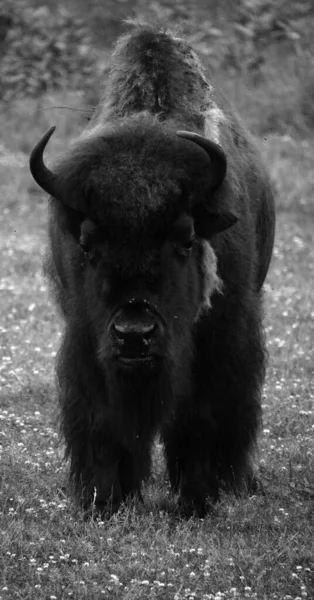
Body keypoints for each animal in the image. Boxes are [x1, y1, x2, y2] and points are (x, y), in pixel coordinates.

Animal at [28, 23, 274, 516]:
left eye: (185, 240)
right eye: (88, 244)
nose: (134, 334)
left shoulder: (220, 338)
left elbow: (202, 416)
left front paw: (196, 501)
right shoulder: (86, 338)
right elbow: (102, 420)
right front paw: (104, 501)